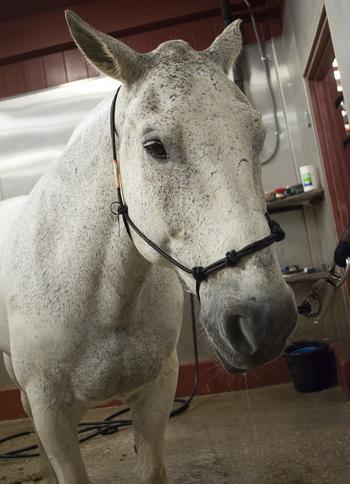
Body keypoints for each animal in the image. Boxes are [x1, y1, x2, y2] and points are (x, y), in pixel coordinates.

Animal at [0, 11, 296, 484]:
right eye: (154, 147)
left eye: (258, 138)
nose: (265, 320)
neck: (102, 299)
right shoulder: (52, 413)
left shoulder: (157, 392)